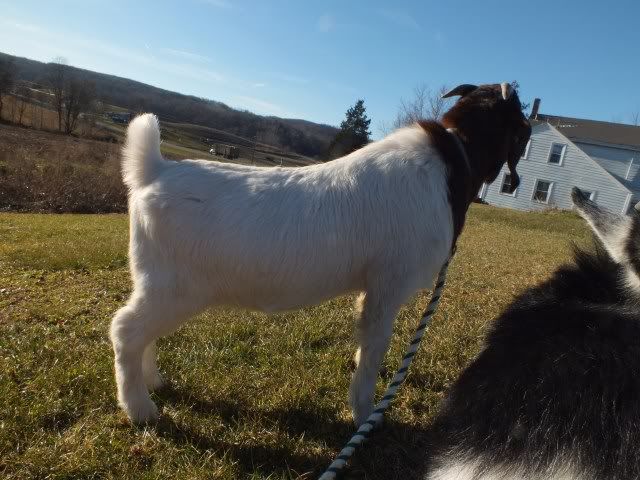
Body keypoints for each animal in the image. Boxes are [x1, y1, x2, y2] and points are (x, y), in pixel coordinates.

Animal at [110, 83, 531, 425]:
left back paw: (154, 381)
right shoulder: (389, 283)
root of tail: (154, 171)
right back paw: (141, 409)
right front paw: (364, 412)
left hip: (158, 286)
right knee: (126, 330)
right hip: (176, 287)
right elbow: (375, 345)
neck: (450, 162)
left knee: (142, 330)